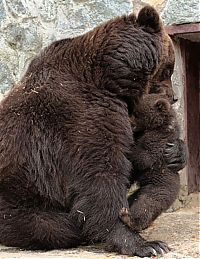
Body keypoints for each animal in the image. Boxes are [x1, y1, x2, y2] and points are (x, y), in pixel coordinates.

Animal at [120, 94, 188, 233]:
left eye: (135, 113)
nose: (129, 122)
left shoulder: (158, 140)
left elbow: (143, 157)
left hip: (159, 187)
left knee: (147, 204)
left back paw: (129, 218)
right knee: (135, 199)